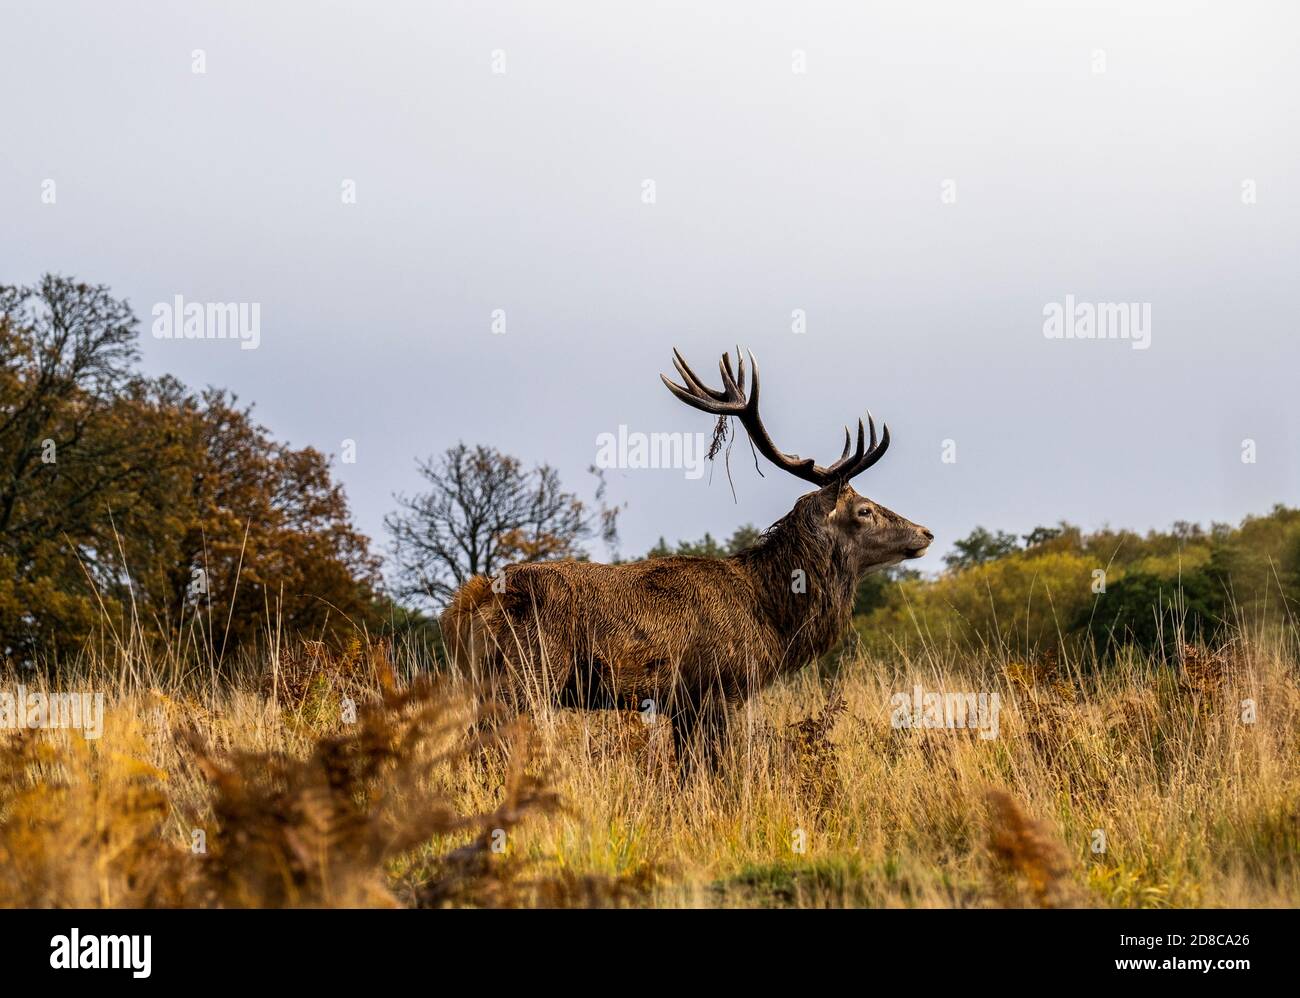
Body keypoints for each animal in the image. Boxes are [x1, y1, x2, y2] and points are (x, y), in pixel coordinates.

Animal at [440, 348, 933, 774]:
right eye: (864, 510)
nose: (925, 532)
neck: (771, 616)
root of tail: (473, 601)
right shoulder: (718, 687)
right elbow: (714, 770)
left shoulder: (681, 703)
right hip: (529, 674)